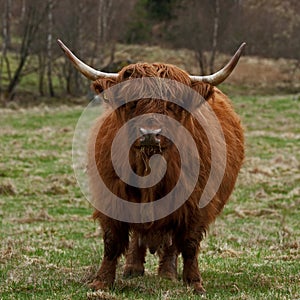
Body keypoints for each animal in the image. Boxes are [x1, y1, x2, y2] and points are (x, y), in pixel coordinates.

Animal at [57, 39, 245, 292]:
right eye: (132, 103)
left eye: (172, 106)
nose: (150, 133)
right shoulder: (111, 197)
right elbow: (112, 241)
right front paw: (101, 282)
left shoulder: (196, 203)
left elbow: (189, 243)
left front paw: (194, 283)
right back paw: (132, 269)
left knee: (173, 243)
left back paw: (167, 273)